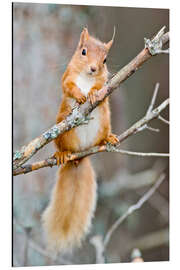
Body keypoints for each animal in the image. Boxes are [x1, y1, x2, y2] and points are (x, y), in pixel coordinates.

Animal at [41, 28, 119, 253]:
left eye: (105, 59)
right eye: (83, 51)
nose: (93, 68)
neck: (86, 77)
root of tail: (80, 156)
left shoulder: (104, 82)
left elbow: (100, 87)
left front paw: (92, 93)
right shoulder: (67, 76)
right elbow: (67, 86)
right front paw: (80, 95)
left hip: (104, 122)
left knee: (102, 137)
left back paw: (108, 139)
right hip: (62, 129)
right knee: (62, 145)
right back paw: (62, 154)